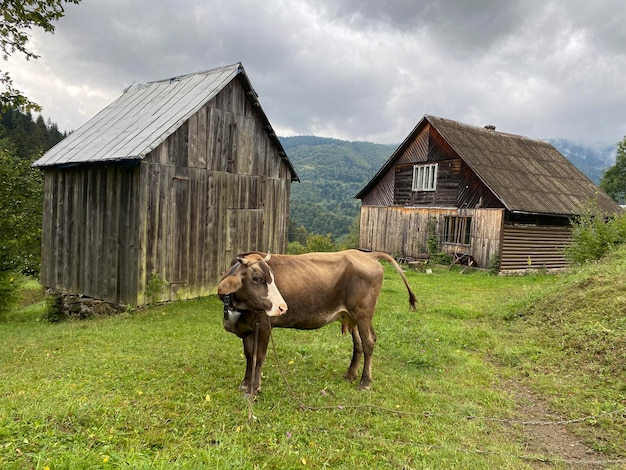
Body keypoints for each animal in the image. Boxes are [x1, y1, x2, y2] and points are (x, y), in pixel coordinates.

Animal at [214, 250, 414, 396]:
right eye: (257, 278)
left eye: (272, 277)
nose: (282, 307)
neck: (238, 308)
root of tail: (366, 254)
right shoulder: (247, 328)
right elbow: (249, 355)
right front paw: (245, 384)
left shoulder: (263, 325)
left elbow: (258, 356)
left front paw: (254, 389)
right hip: (352, 316)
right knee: (358, 343)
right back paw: (350, 374)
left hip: (363, 313)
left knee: (369, 342)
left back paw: (365, 382)